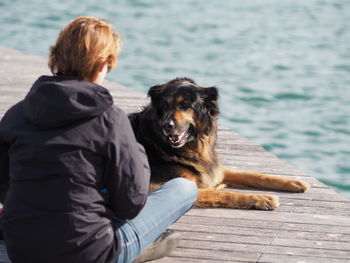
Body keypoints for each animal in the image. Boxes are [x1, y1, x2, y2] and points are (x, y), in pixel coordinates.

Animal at [129, 78, 308, 210]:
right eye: (164, 106)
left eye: (185, 105)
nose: (167, 125)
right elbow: (226, 194)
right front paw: (262, 198)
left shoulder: (214, 170)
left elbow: (253, 175)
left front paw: (294, 182)